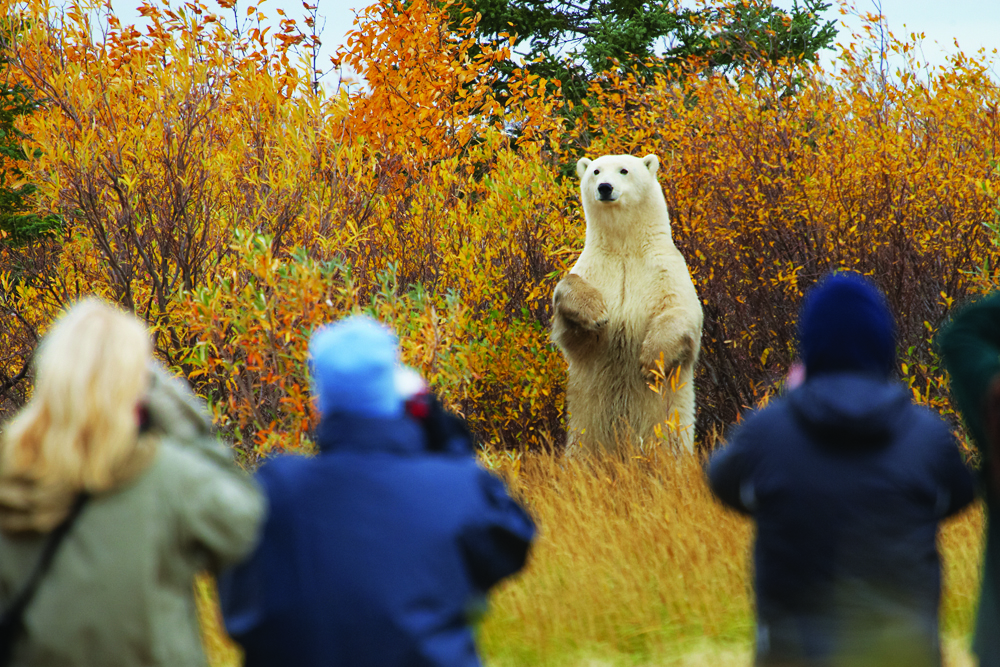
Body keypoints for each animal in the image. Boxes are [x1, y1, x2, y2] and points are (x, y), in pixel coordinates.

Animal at [552, 153, 708, 454]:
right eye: (596, 171)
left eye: (624, 170)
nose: (605, 187)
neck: (625, 247)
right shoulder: (596, 268)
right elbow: (570, 308)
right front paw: (596, 312)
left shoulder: (664, 269)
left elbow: (681, 312)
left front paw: (650, 361)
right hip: (582, 433)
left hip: (667, 431)